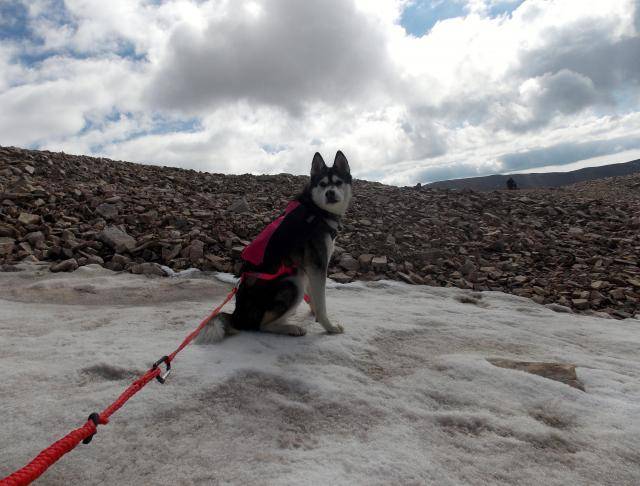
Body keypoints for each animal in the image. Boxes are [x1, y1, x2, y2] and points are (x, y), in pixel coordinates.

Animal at [198, 150, 352, 344]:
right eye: (322, 184)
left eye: (338, 182)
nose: (330, 193)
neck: (316, 211)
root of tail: (238, 316)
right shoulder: (317, 264)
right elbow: (321, 303)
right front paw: (329, 327)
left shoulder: (309, 267)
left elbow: (314, 298)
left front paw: (315, 314)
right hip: (292, 283)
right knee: (263, 326)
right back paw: (291, 328)